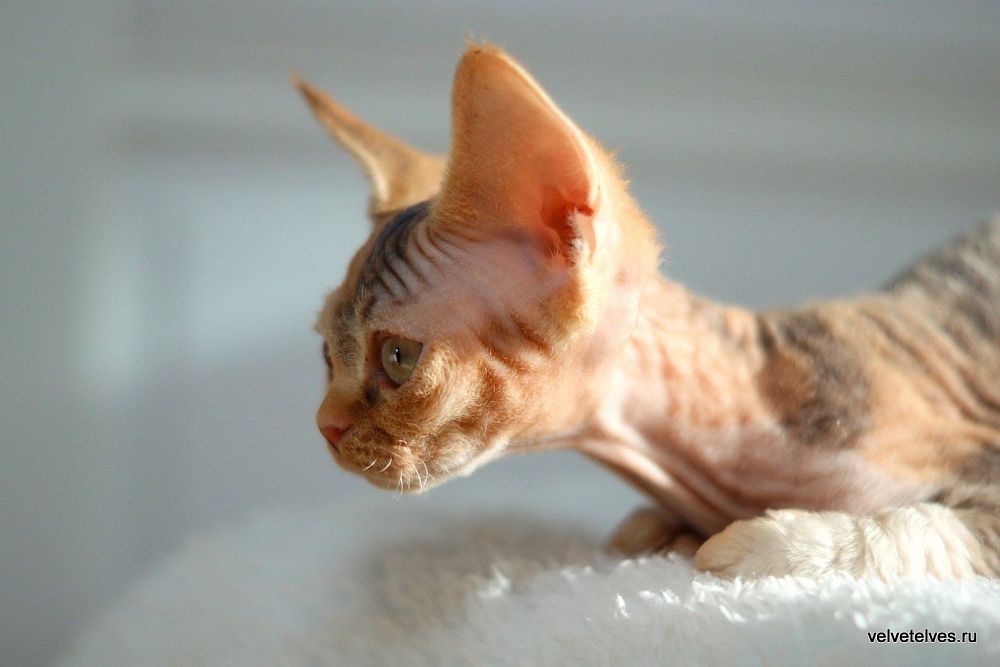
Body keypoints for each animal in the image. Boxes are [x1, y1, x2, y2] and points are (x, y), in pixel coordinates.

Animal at [296, 43, 1000, 581]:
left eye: (398, 357)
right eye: (327, 353)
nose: (324, 426)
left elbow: (909, 529)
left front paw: (744, 545)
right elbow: (632, 533)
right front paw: (673, 537)